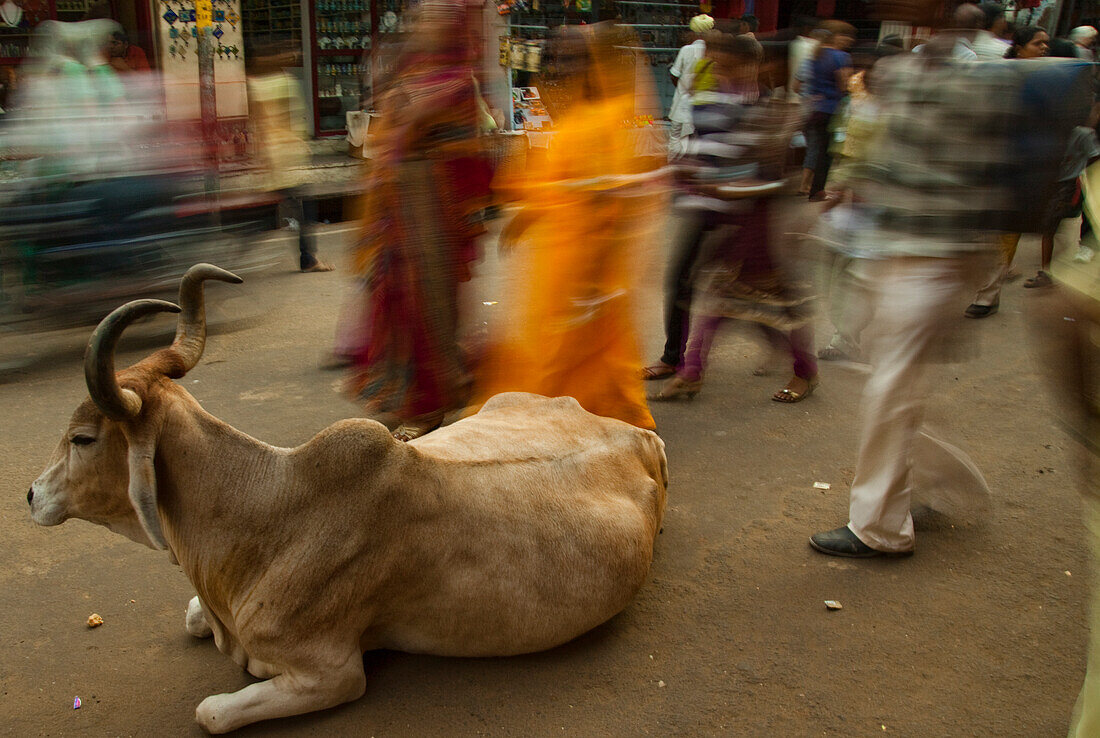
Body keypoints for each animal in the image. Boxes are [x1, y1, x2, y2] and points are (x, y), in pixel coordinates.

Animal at [27, 263, 668, 734]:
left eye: (83, 438)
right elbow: (189, 618)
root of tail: (638, 435)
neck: (265, 511)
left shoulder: (332, 674)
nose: (32, 495)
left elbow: (208, 713)